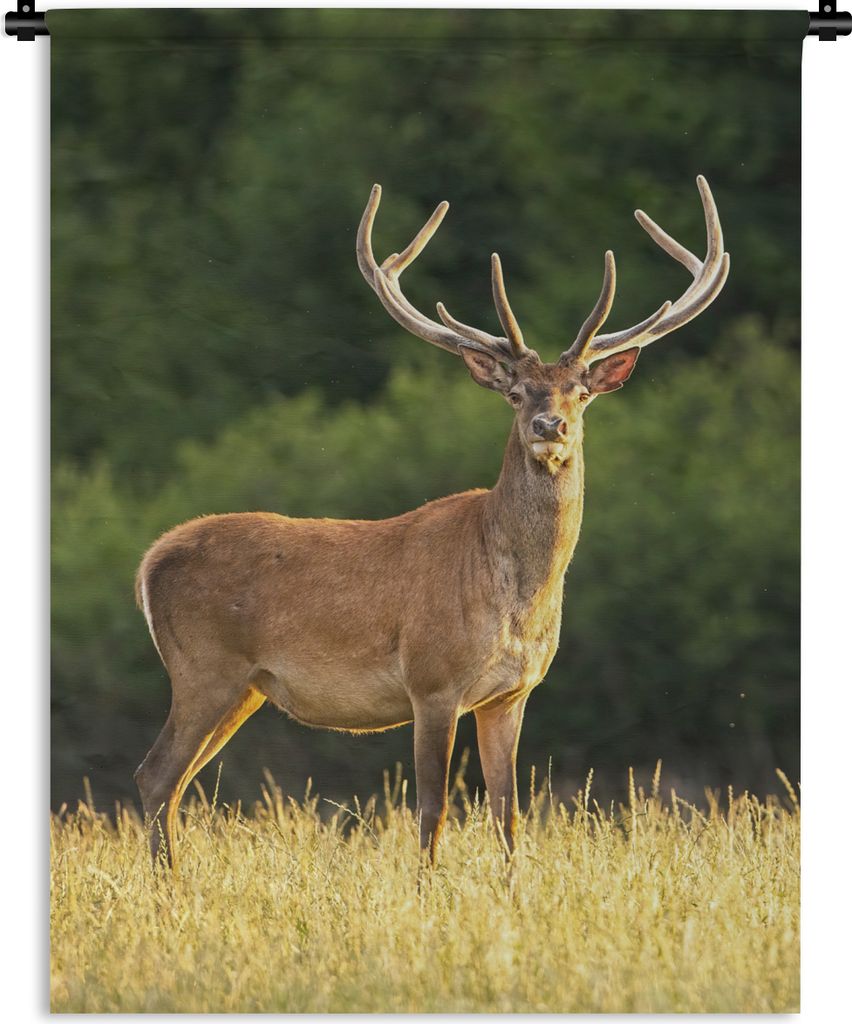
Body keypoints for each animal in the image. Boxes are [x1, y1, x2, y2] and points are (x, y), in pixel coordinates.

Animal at [134, 176, 729, 868]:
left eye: (580, 391)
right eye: (516, 392)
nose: (549, 426)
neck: (515, 596)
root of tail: (149, 562)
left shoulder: (512, 694)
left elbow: (508, 813)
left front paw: (511, 884)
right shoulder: (432, 680)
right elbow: (432, 810)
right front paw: (426, 884)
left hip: (246, 686)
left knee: (174, 782)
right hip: (204, 668)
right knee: (156, 774)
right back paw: (170, 882)